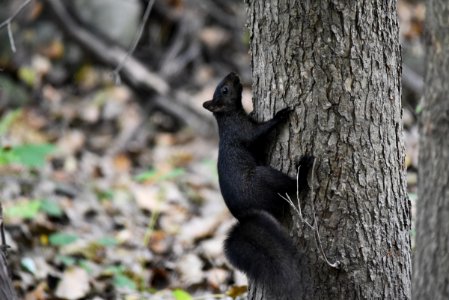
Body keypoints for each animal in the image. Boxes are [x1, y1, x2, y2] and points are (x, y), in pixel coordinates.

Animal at [203, 72, 312, 298]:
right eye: (225, 90)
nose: (233, 74)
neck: (228, 117)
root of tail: (244, 215)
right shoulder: (243, 132)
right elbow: (260, 132)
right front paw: (281, 115)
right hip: (264, 177)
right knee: (293, 188)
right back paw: (303, 172)